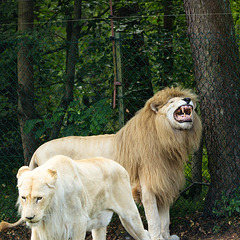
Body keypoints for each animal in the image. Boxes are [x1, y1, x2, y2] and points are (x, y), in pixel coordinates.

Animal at [15, 155, 150, 239]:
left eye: (39, 198)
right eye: (24, 197)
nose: (29, 217)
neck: (50, 212)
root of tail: (121, 167)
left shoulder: (79, 223)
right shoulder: (42, 230)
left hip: (130, 214)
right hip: (100, 223)